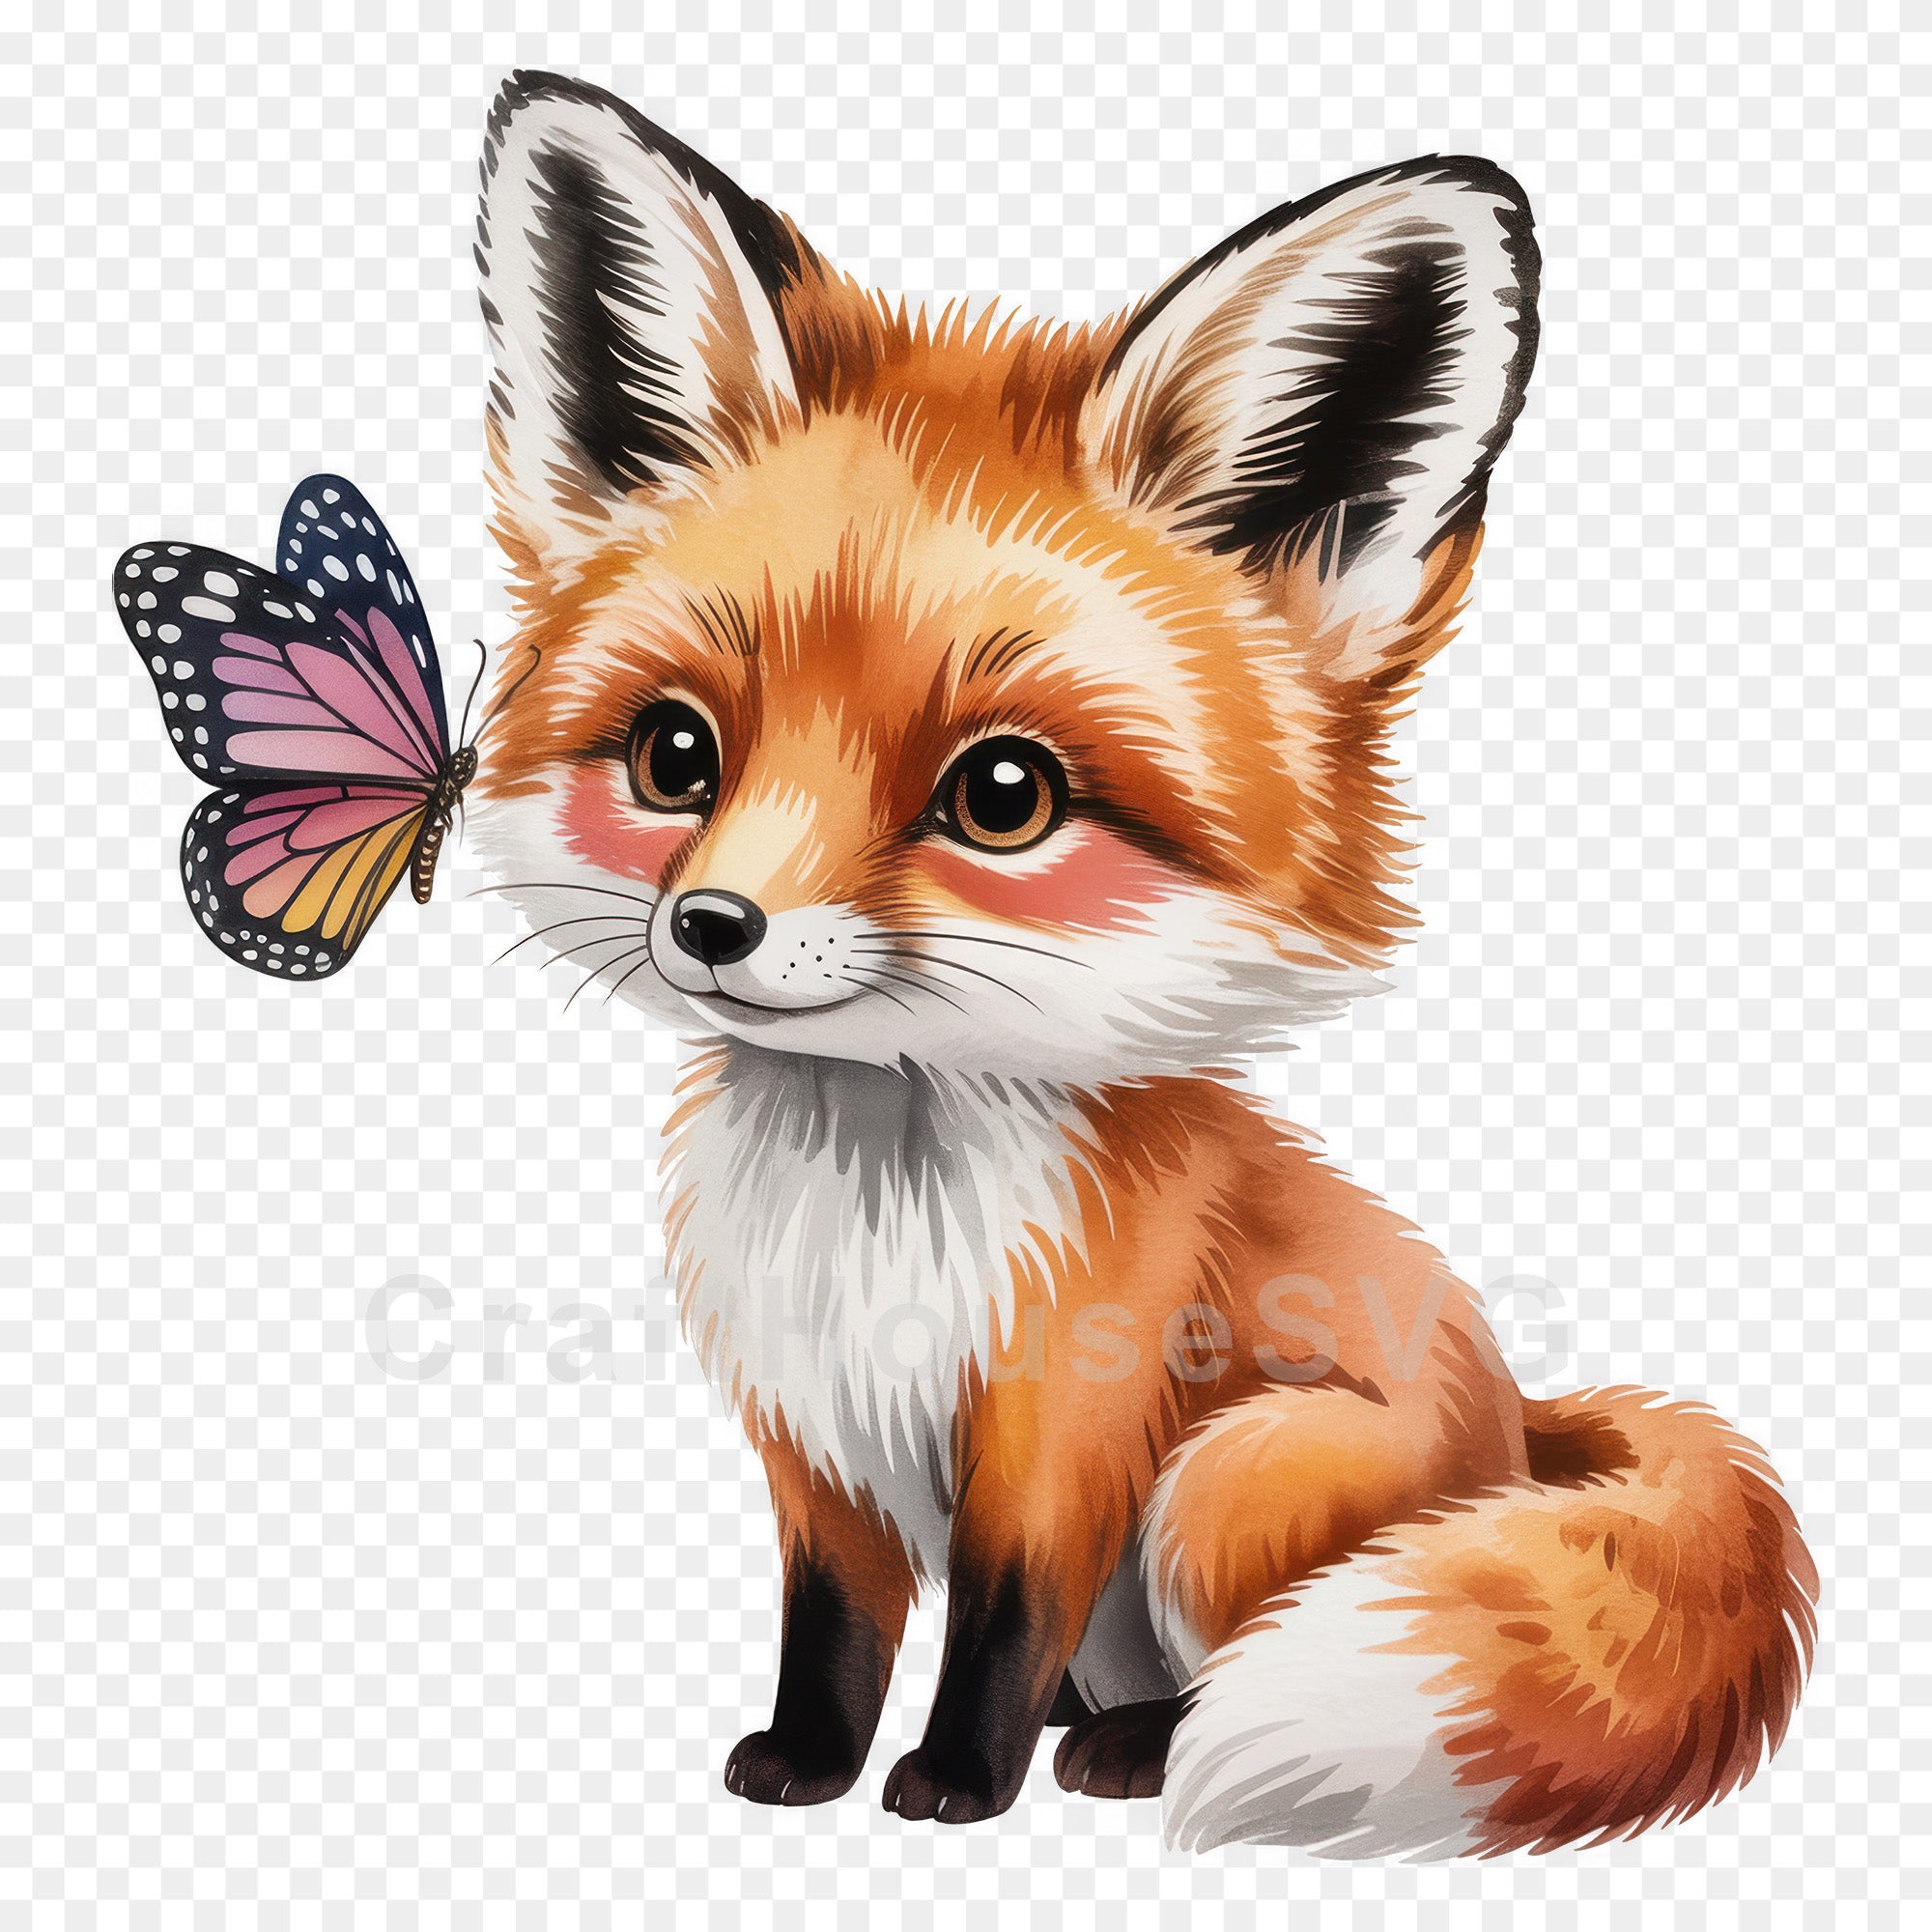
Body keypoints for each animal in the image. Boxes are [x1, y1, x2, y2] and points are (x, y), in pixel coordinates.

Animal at [468, 71, 1817, 1857]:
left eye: (1004, 795)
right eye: (676, 755)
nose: (714, 926)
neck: (880, 1216)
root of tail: (1526, 1434)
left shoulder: (1069, 1429)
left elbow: (998, 1624)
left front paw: (954, 1787)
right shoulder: (815, 1444)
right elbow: (833, 1629)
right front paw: (808, 1767)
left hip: (1234, 1470)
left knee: (1199, 1660)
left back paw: (1134, 1751)